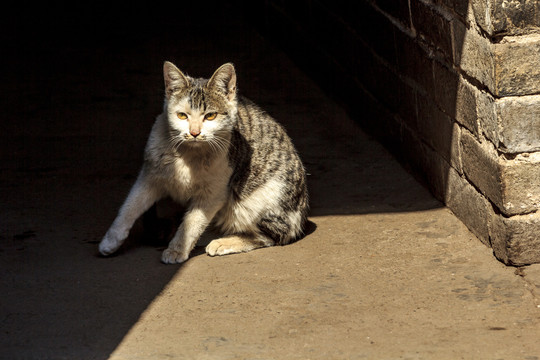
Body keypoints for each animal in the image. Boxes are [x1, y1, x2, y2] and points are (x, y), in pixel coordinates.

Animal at [97, 62, 308, 262]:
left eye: (210, 116)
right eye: (182, 115)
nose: (194, 132)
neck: (188, 155)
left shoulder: (214, 193)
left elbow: (192, 222)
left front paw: (177, 249)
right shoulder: (150, 176)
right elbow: (130, 206)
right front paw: (110, 240)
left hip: (258, 201)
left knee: (271, 236)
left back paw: (221, 242)